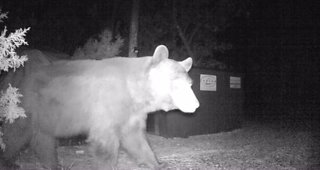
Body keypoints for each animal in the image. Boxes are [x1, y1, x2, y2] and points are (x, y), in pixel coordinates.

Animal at [0, 44, 199, 169]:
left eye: (190, 84)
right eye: (176, 82)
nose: (196, 105)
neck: (134, 90)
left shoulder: (131, 113)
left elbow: (136, 138)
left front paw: (157, 163)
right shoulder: (107, 104)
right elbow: (105, 142)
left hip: (46, 113)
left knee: (43, 138)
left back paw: (53, 164)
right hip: (26, 106)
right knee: (16, 133)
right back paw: (9, 161)